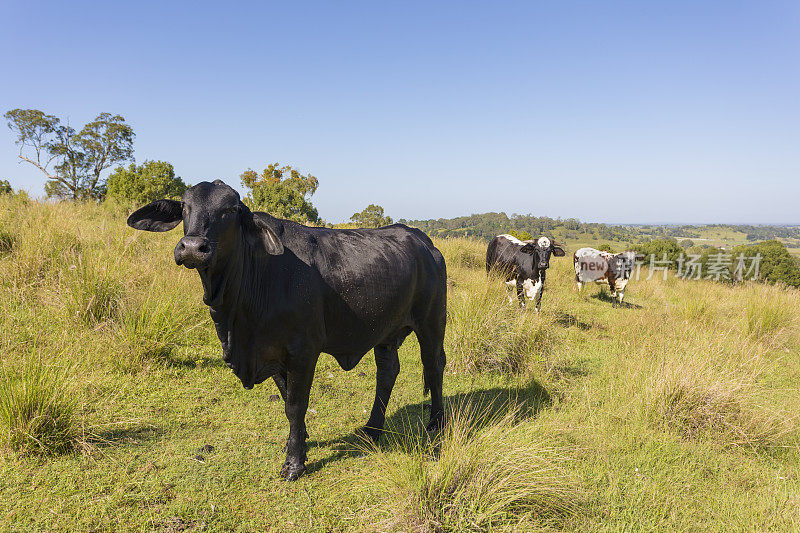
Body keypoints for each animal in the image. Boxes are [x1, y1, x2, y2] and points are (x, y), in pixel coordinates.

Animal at [128, 181, 446, 480]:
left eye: (230, 210)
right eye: (184, 207)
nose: (193, 247)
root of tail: (421, 239)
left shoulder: (303, 351)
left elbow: (295, 404)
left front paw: (294, 463)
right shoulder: (272, 352)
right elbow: (286, 397)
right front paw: (299, 444)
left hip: (432, 322)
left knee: (434, 366)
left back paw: (435, 427)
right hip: (385, 331)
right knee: (387, 372)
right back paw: (372, 429)